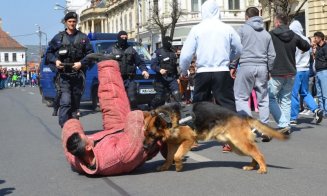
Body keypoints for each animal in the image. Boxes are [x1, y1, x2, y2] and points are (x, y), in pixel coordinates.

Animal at [144, 102, 290, 174]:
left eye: (151, 134)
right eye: (144, 133)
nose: (144, 146)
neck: (168, 119)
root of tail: (243, 117)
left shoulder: (188, 141)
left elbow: (177, 156)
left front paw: (179, 167)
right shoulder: (172, 144)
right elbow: (169, 157)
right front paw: (165, 167)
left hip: (240, 144)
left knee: (259, 154)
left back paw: (263, 168)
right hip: (237, 147)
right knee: (254, 153)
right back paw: (251, 166)